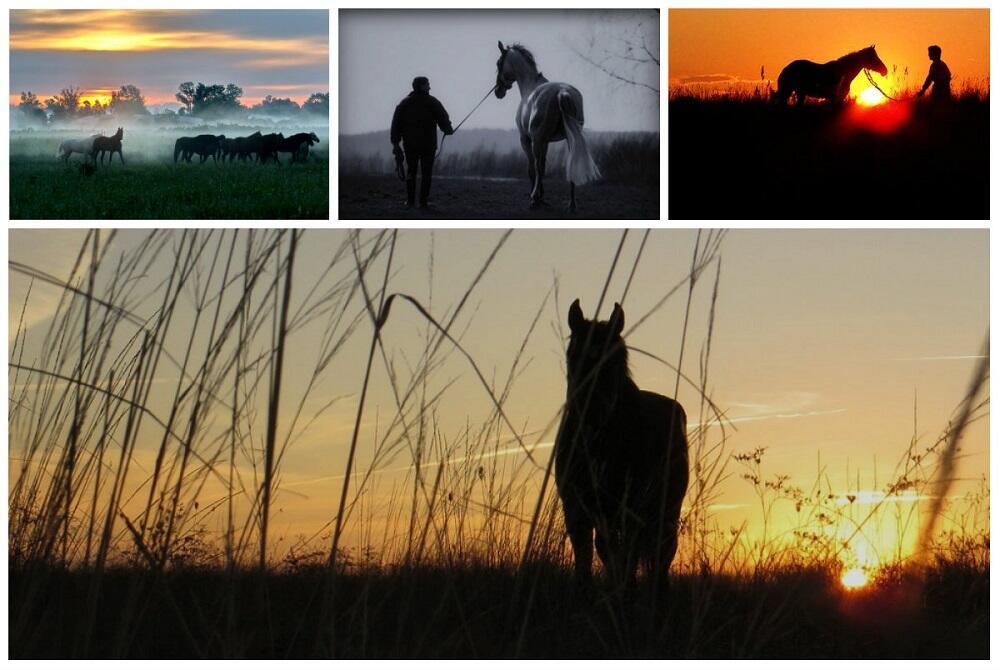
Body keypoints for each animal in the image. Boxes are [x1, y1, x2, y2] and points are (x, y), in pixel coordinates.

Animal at [494, 40, 596, 213]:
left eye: (499, 63)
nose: (498, 91)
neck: (529, 85)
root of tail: (562, 92)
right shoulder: (546, 141)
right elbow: (542, 165)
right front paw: (542, 198)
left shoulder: (527, 139)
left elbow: (533, 168)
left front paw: (537, 198)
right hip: (570, 138)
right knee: (570, 163)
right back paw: (572, 204)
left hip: (536, 140)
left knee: (536, 166)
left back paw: (534, 199)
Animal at [556, 302, 688, 596]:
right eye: (574, 355)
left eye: (614, 359)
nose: (594, 408)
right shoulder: (575, 505)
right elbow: (585, 550)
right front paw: (584, 588)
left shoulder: (624, 505)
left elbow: (621, 551)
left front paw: (624, 589)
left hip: (664, 509)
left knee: (660, 551)